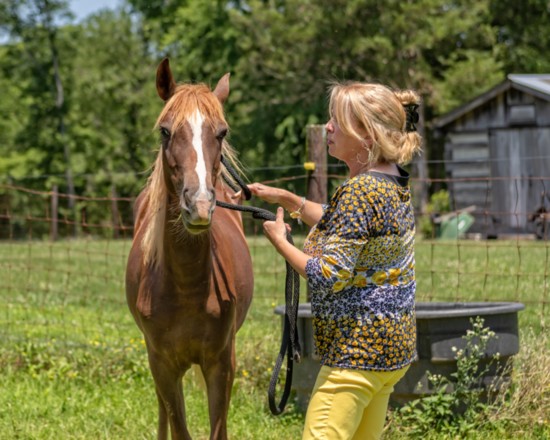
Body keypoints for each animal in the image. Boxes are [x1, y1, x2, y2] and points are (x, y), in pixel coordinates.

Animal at [126, 59, 256, 440]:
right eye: (165, 131)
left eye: (222, 132)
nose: (198, 205)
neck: (185, 285)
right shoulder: (162, 364)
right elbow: (177, 425)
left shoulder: (221, 363)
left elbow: (218, 429)